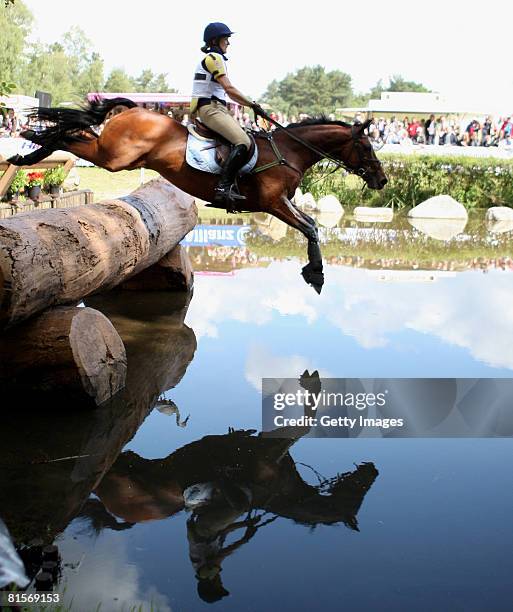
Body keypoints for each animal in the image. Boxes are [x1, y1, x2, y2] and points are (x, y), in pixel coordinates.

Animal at [8, 98, 386, 294]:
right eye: (368, 147)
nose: (382, 180)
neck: (289, 151)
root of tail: (133, 109)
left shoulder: (282, 203)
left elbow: (311, 225)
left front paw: (314, 268)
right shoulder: (273, 203)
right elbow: (309, 227)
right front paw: (317, 272)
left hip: (115, 156)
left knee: (79, 133)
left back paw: (30, 145)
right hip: (115, 158)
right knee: (71, 137)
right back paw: (29, 148)